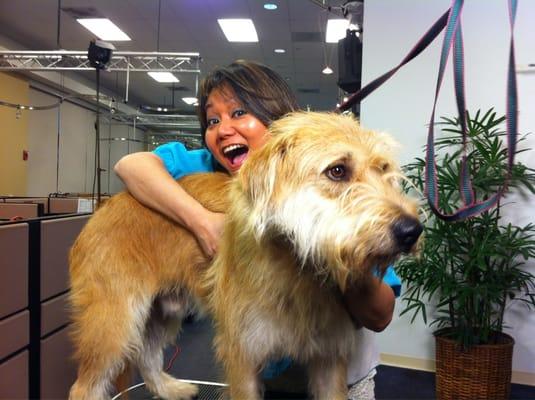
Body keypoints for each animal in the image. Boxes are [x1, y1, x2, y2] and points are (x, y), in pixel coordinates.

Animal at [67, 111, 420, 400]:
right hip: (114, 323)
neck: (294, 268)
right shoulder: (243, 356)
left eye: (384, 170)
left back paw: (171, 389)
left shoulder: (329, 358)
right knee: (84, 387)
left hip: (162, 312)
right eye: (337, 171)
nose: (411, 230)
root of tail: (104, 207)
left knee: (148, 356)